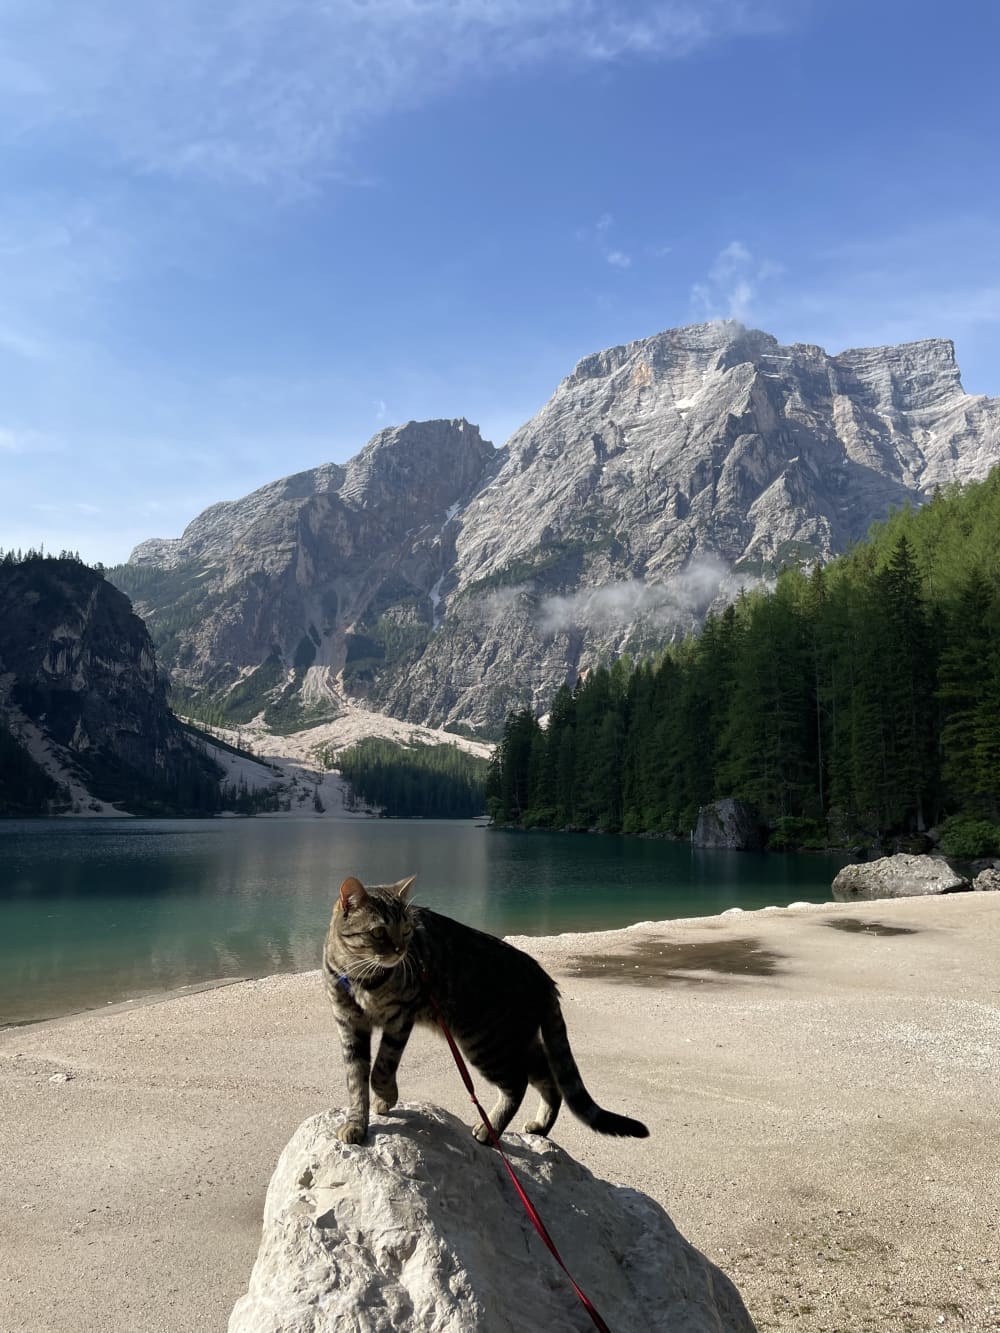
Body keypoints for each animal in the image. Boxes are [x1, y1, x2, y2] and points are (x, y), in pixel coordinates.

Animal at [321, 874, 650, 1146]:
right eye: (378, 932)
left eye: (406, 930)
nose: (402, 950)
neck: (362, 976)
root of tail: (544, 978)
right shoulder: (349, 1025)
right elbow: (356, 1081)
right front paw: (357, 1123)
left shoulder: (400, 1019)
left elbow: (381, 1068)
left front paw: (387, 1096)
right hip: (517, 1042)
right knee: (550, 1079)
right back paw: (541, 1126)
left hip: (485, 1042)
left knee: (517, 1083)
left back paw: (490, 1129)